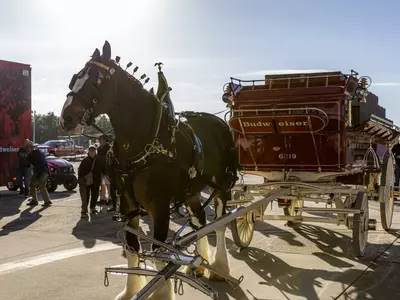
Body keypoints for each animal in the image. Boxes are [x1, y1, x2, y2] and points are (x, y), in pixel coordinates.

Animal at [61, 41, 239, 298]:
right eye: (75, 77)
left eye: (97, 80)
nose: (66, 117)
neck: (143, 141)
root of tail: (220, 123)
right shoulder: (127, 204)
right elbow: (132, 248)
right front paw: (130, 290)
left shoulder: (160, 206)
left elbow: (158, 254)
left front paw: (161, 292)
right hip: (192, 190)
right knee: (200, 221)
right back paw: (200, 263)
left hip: (222, 184)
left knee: (221, 223)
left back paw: (220, 268)